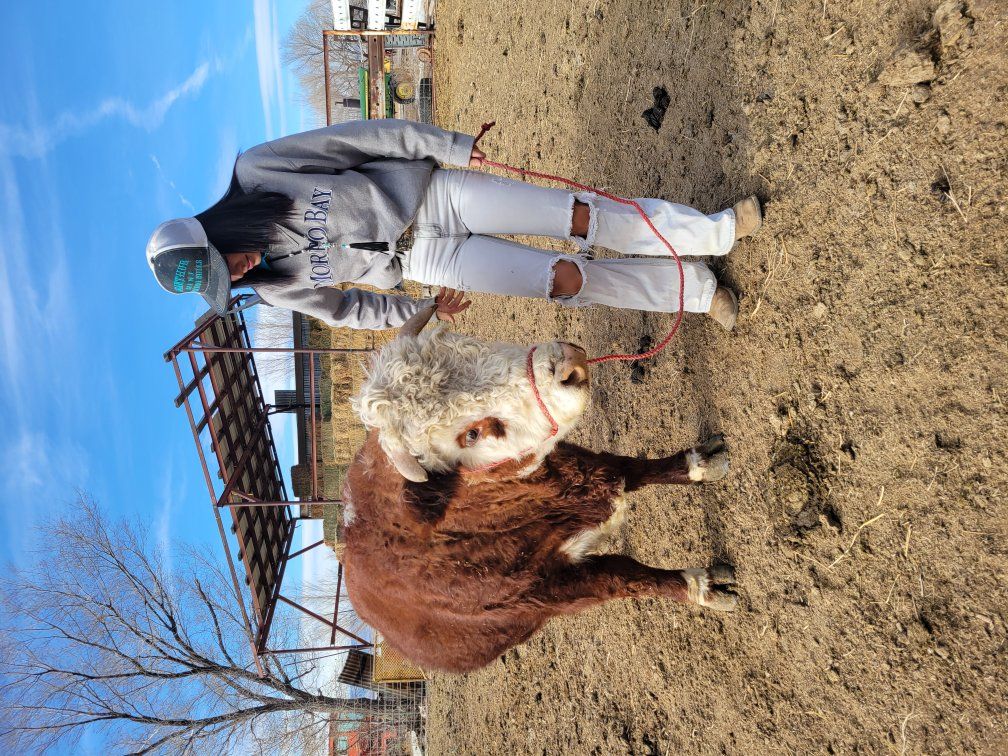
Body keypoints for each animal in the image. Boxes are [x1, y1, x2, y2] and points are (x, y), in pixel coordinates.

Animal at [342, 304, 737, 673]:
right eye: (471, 434)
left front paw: (699, 463)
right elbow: (629, 575)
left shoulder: (583, 464)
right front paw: (702, 587)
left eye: (469, 343)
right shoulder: (550, 592)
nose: (569, 364)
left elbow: (632, 468)